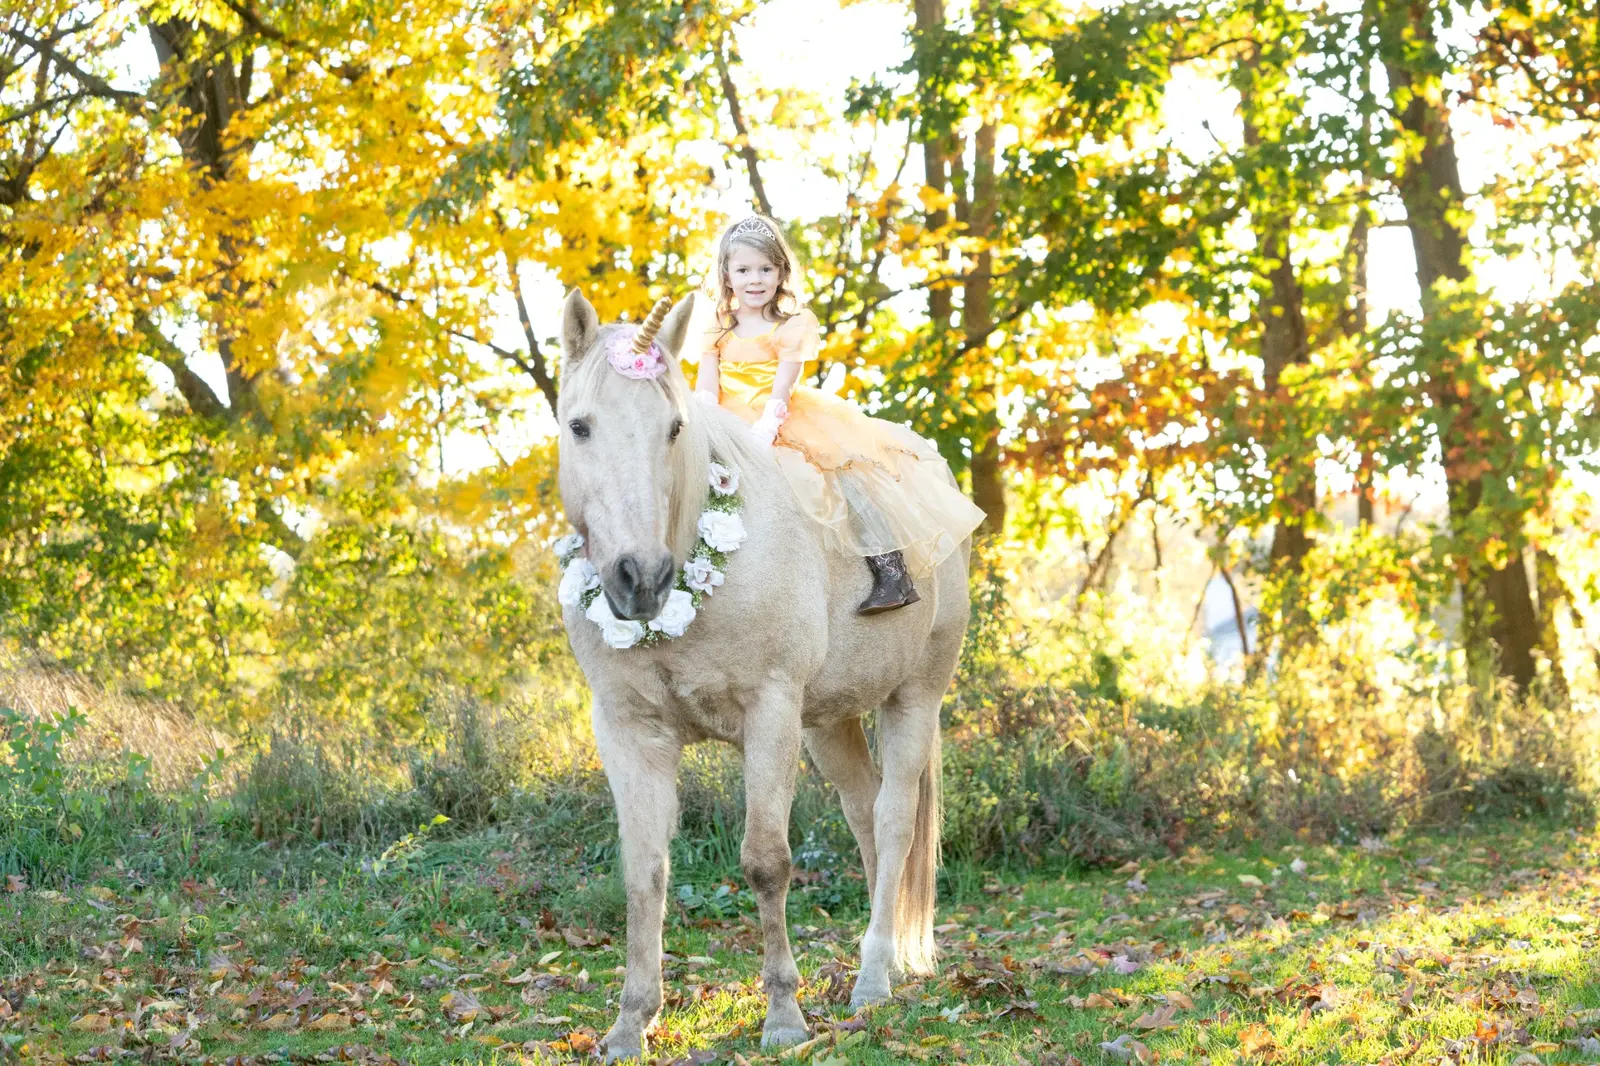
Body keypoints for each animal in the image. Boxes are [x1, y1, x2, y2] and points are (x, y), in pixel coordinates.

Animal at [554, 288, 969, 1062]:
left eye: (674, 428)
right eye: (580, 425)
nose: (640, 580)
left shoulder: (770, 713)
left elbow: (766, 861)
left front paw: (782, 1015)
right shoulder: (627, 730)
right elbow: (644, 871)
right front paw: (630, 1024)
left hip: (914, 699)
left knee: (894, 821)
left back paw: (873, 980)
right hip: (830, 721)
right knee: (864, 815)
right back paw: (887, 962)